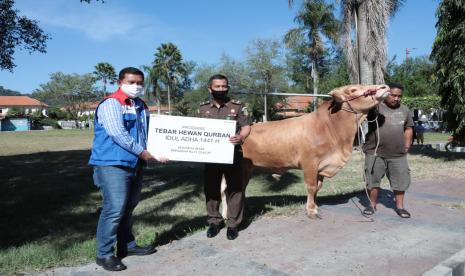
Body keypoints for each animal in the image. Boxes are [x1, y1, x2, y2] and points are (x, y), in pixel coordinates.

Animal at [219, 83, 390, 219]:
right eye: (353, 89)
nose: (384, 87)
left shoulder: (322, 166)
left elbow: (318, 188)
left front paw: (315, 206)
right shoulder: (310, 163)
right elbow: (311, 187)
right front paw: (311, 211)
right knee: (229, 190)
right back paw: (227, 215)